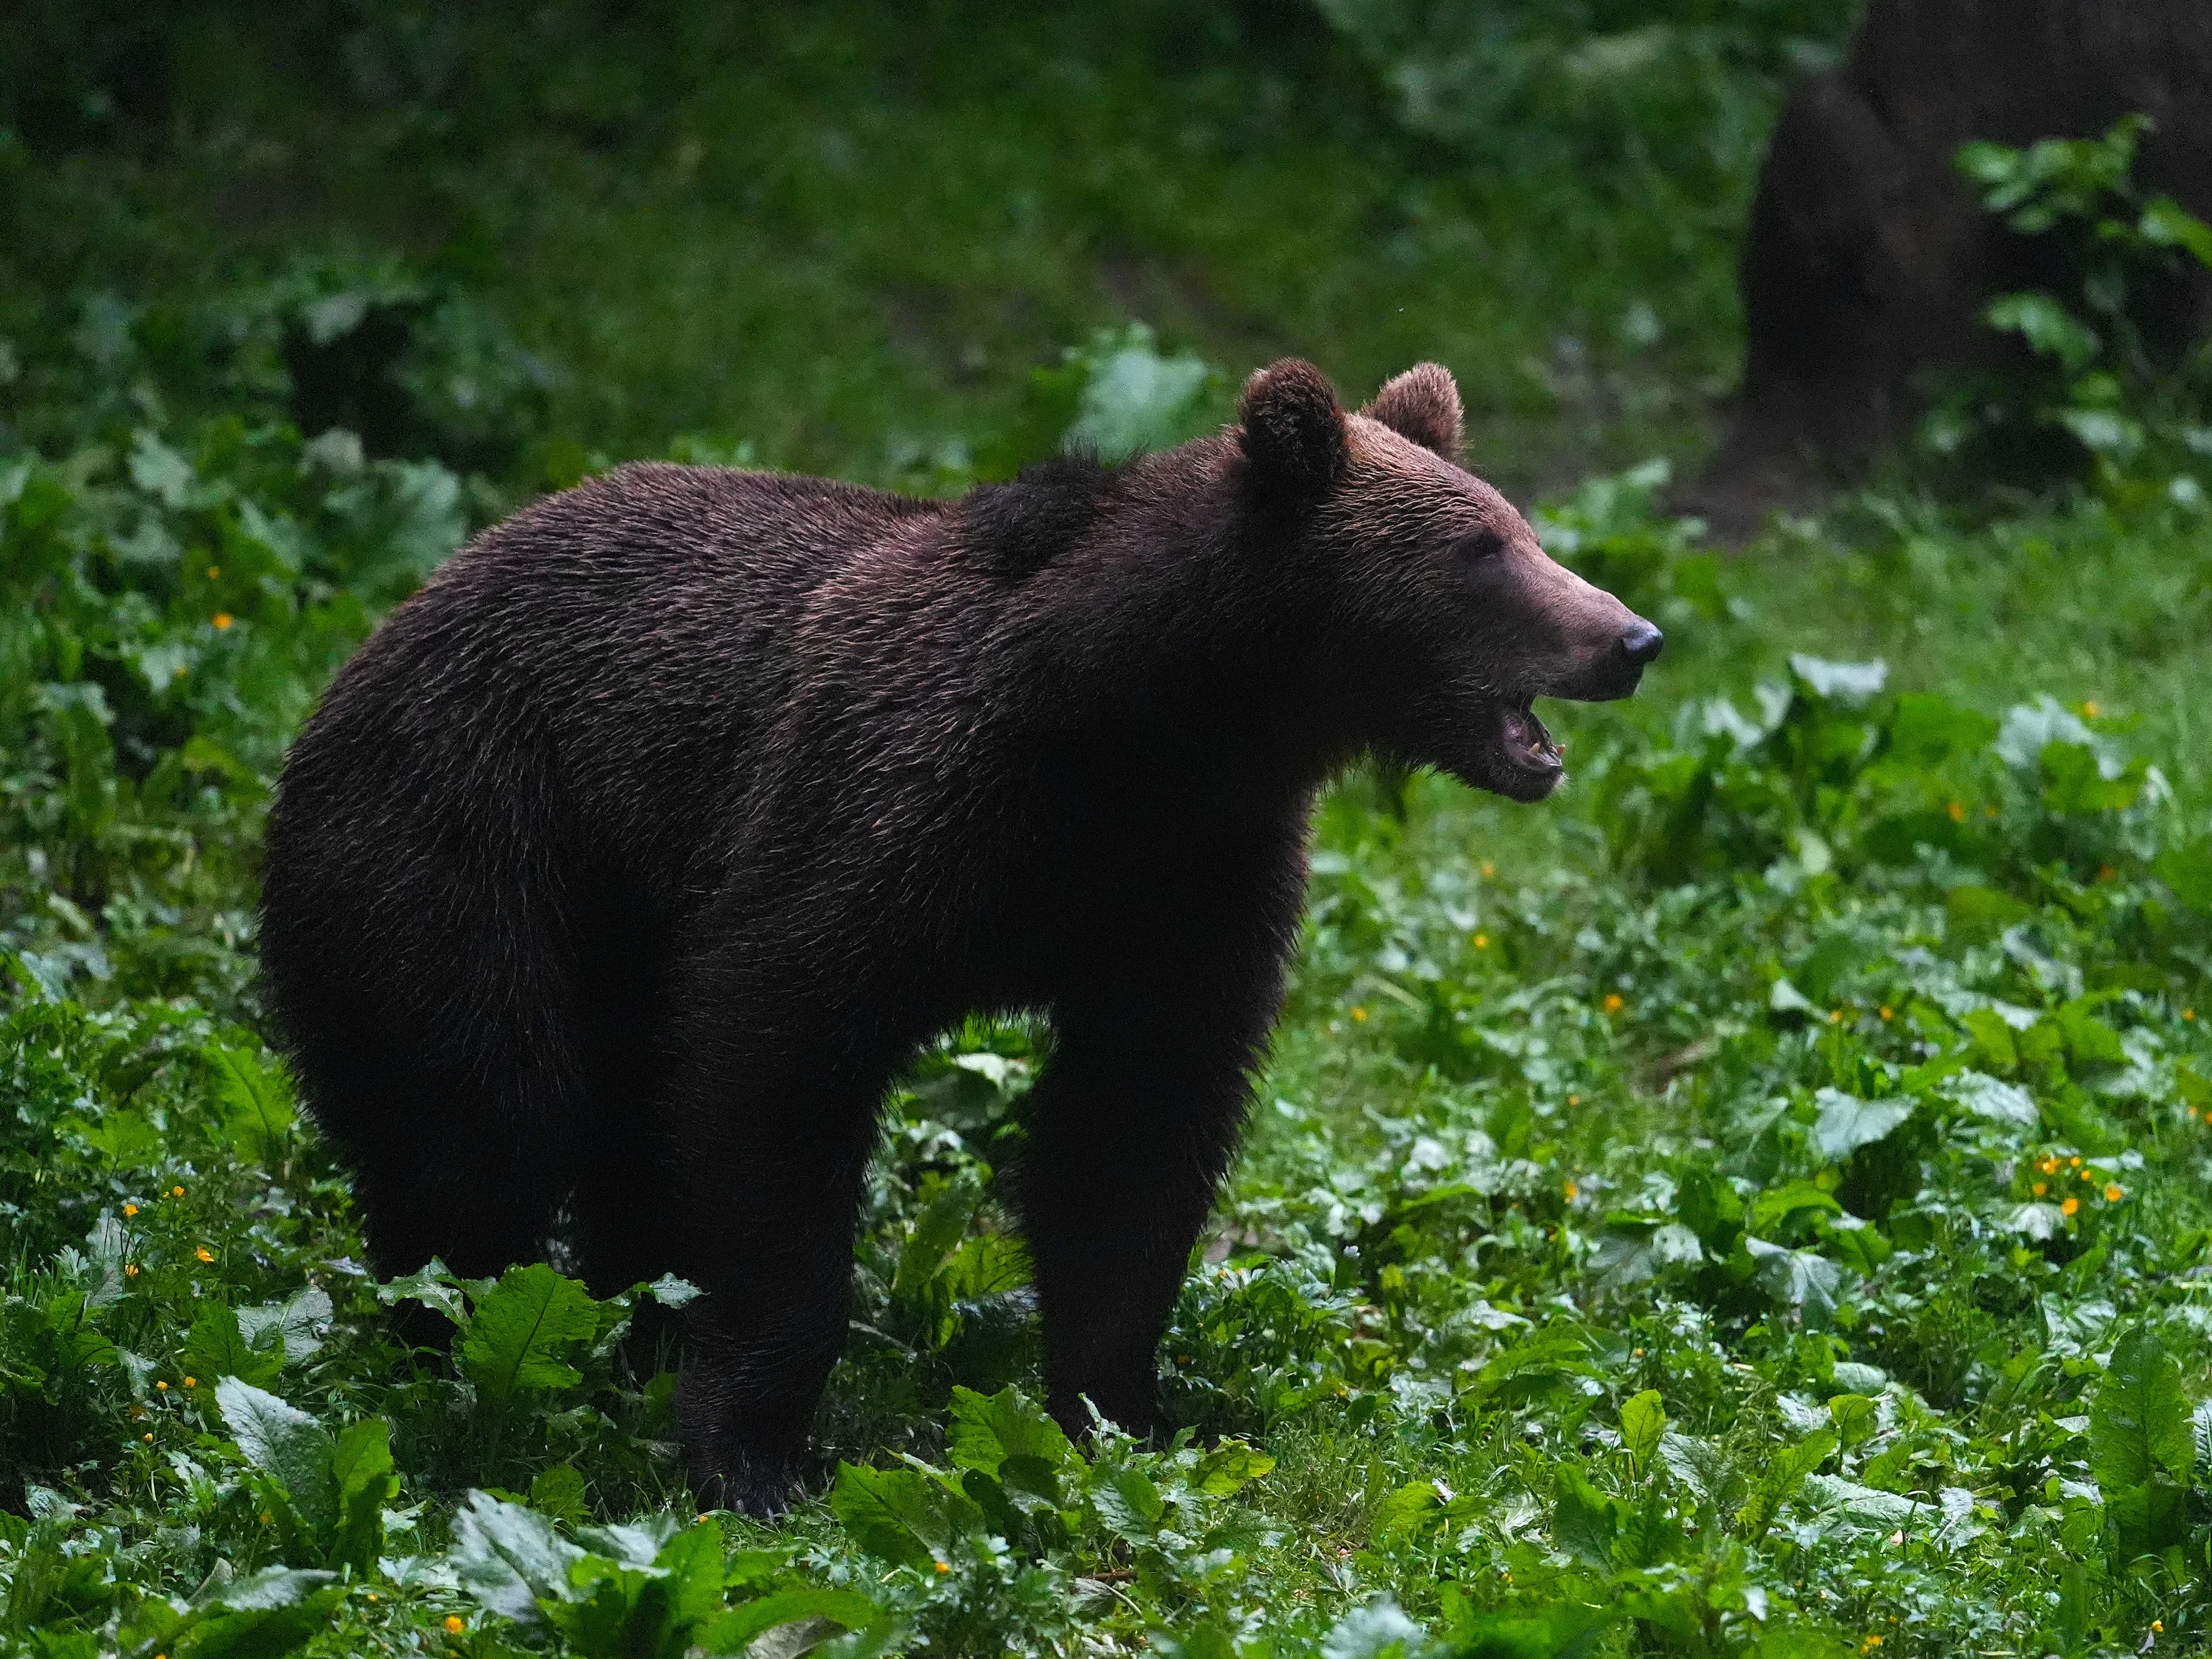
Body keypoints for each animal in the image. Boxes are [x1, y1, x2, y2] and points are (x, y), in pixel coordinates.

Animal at [258, 359, 1661, 1514]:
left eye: (1521, 529)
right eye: (1480, 549)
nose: (1631, 637)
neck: (1145, 728)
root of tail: (375, 639)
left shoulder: (1186, 886)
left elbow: (1130, 1135)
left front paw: (1119, 1410)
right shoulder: (884, 812)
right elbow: (776, 1077)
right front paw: (756, 1450)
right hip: (478, 839)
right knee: (481, 1113)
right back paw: (458, 1341)